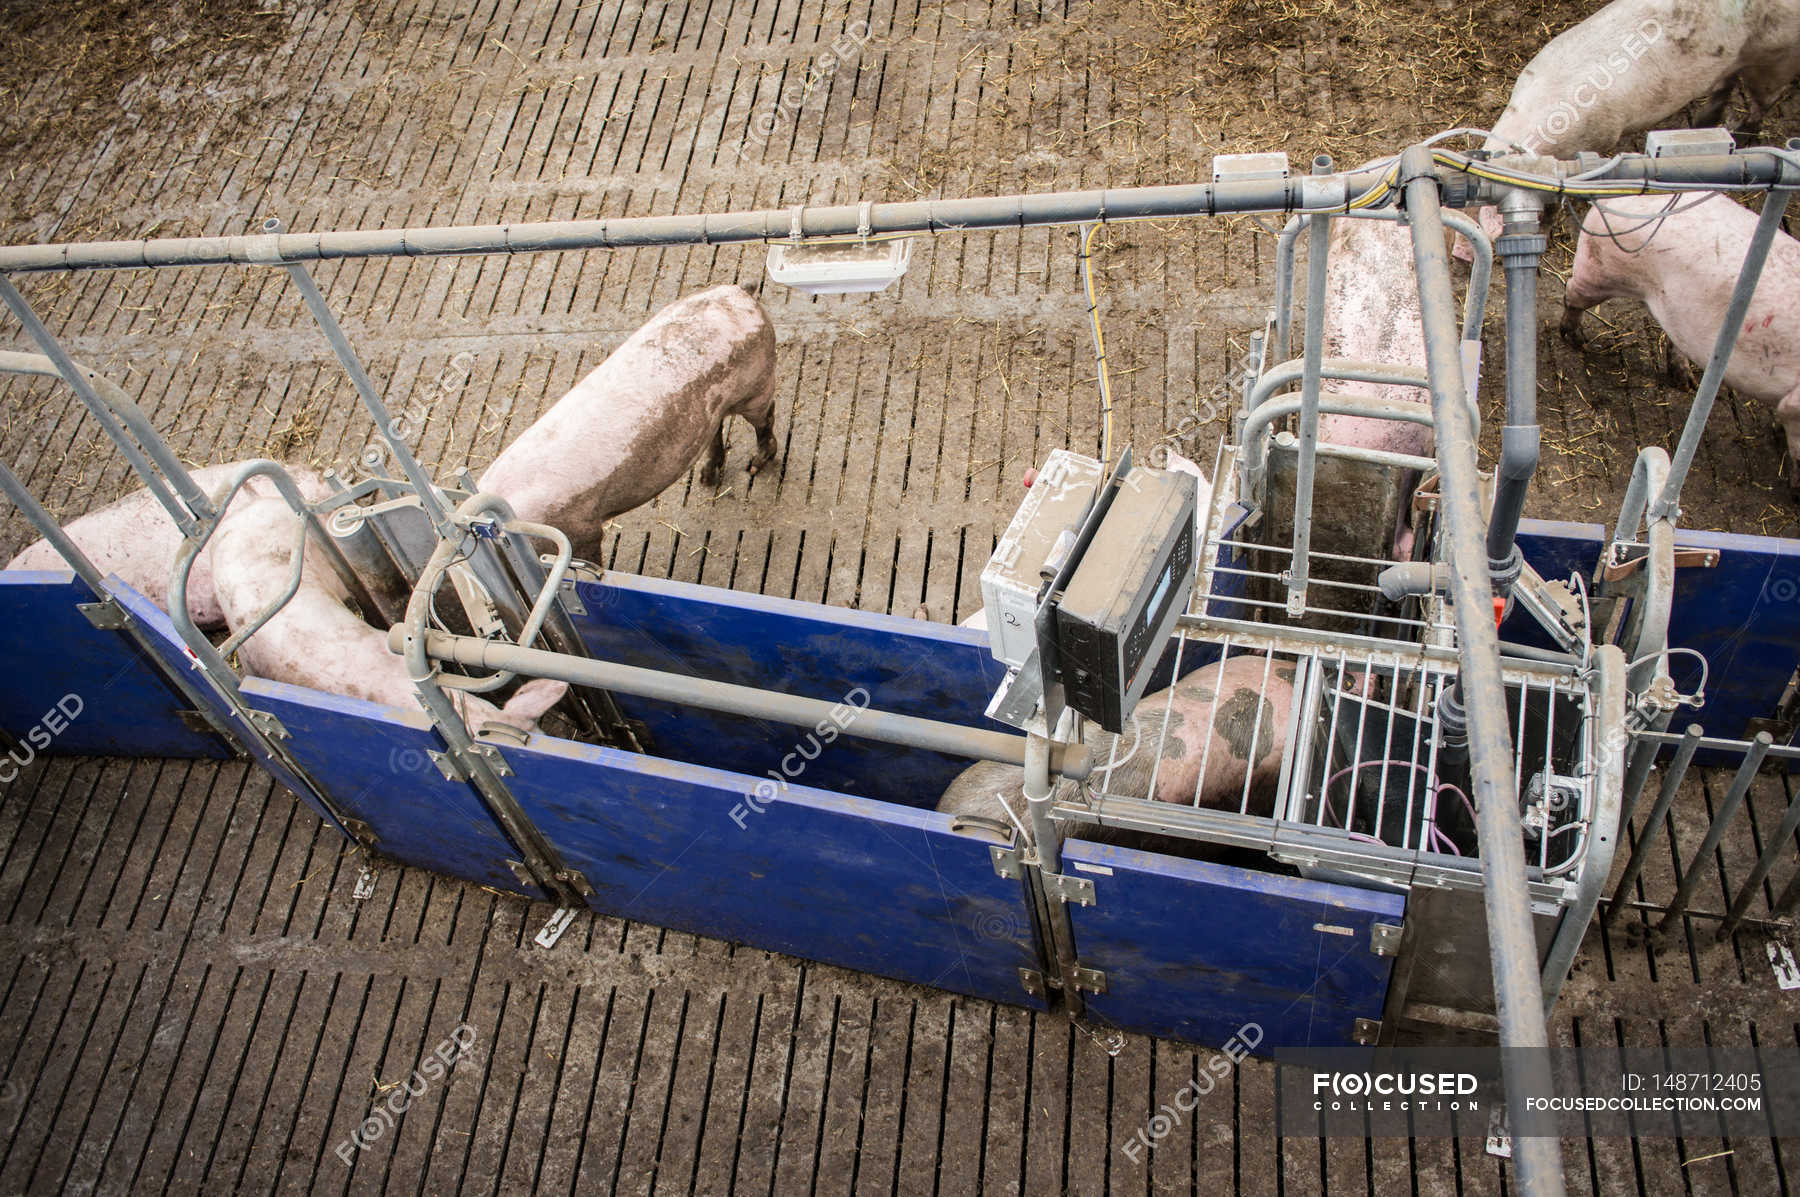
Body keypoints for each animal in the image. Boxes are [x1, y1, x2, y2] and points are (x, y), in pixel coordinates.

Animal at [478, 284, 781, 561]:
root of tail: (739, 292)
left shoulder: (580, 533)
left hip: (757, 385)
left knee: (766, 418)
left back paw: (755, 466)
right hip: (719, 403)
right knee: (717, 428)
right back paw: (706, 478)